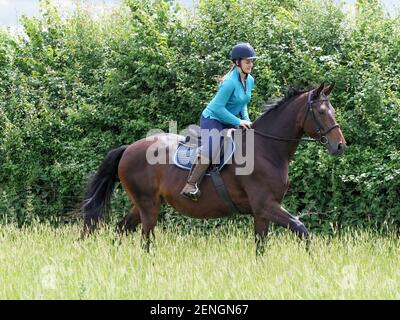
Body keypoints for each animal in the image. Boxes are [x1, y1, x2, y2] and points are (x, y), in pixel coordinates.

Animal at [82, 82, 346, 252]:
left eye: (333, 110)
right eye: (322, 112)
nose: (340, 146)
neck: (267, 149)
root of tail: (128, 149)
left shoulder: (262, 212)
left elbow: (261, 246)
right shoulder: (266, 205)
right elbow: (302, 228)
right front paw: (313, 262)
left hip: (144, 203)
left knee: (121, 229)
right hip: (148, 205)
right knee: (145, 239)